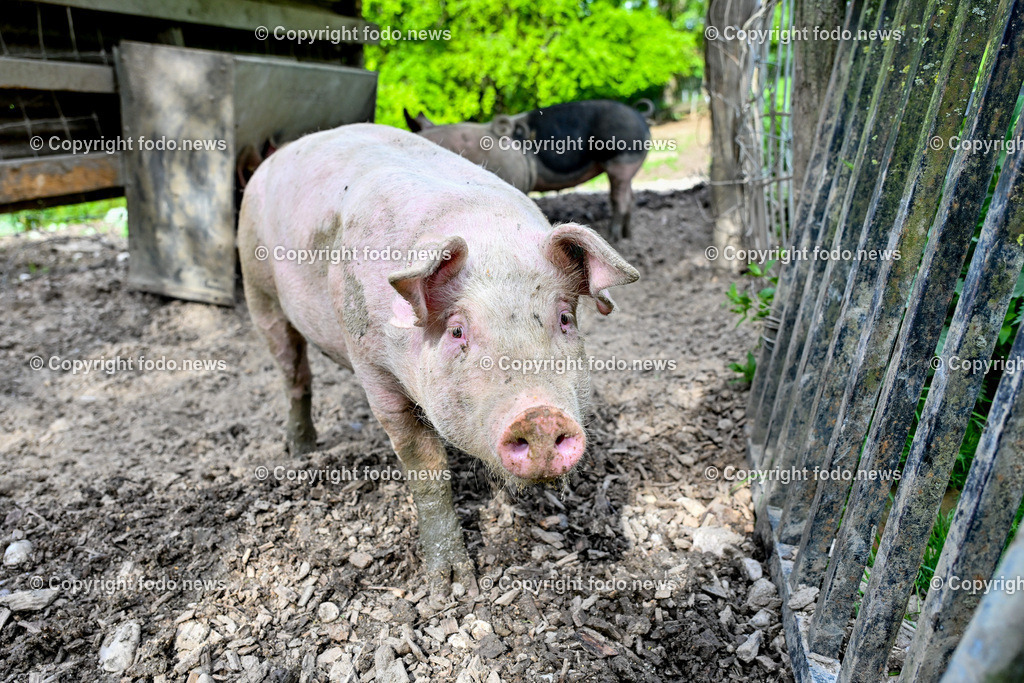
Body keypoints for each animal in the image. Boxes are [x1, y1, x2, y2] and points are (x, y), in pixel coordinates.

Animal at [238, 123, 639, 600]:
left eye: (563, 319)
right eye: (457, 331)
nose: (540, 416)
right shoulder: (372, 366)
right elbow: (426, 468)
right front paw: (451, 586)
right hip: (257, 287)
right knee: (293, 371)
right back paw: (301, 450)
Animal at [405, 100, 652, 242]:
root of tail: (641, 118)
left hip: (621, 160)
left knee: (619, 198)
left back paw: (615, 238)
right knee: (629, 197)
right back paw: (628, 235)